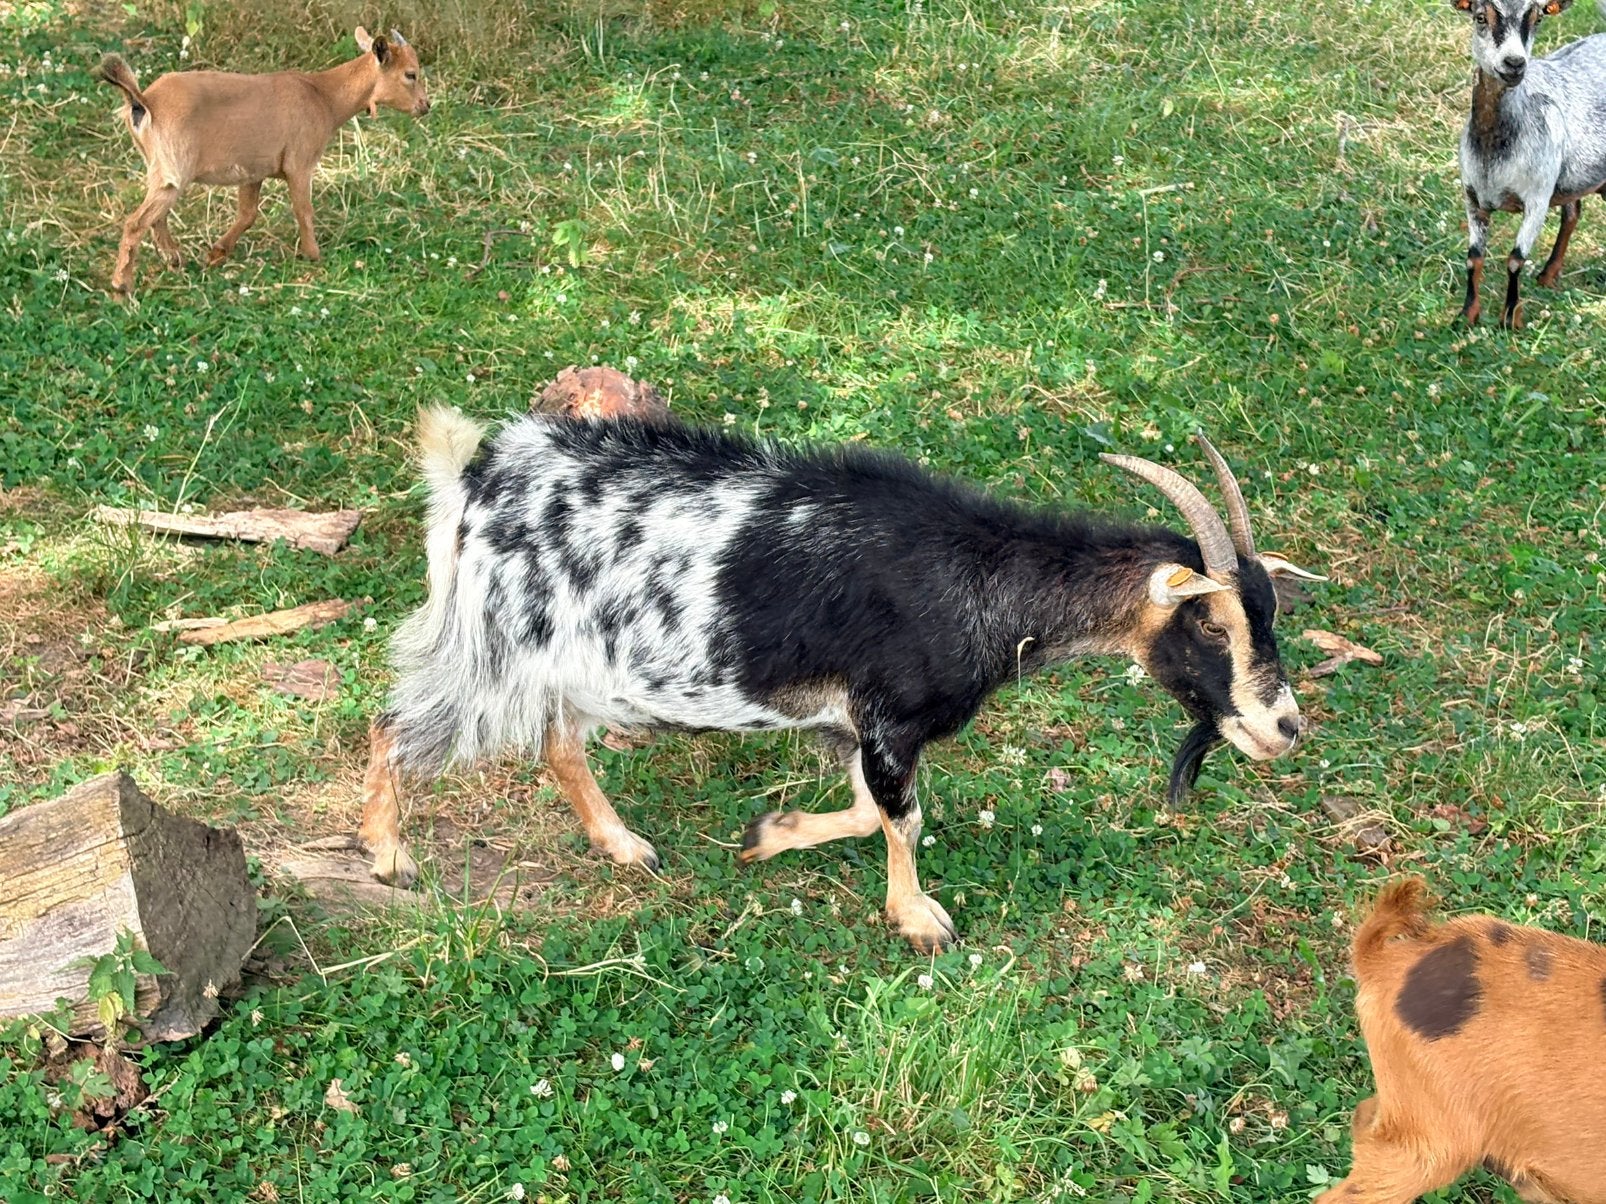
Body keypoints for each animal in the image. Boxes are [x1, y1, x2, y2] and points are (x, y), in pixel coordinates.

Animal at [99, 27, 429, 296]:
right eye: (410, 74)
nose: (425, 106)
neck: (323, 96)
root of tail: (143, 102)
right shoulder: (300, 162)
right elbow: (303, 210)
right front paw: (313, 255)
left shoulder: (253, 170)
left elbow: (248, 214)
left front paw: (217, 253)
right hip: (174, 168)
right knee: (136, 222)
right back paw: (121, 285)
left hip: (159, 167)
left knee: (157, 216)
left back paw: (174, 259)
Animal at [358, 410, 1323, 952]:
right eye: (1212, 623)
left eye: (1270, 611)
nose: (1285, 728)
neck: (975, 577)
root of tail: (475, 479)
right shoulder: (890, 720)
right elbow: (904, 819)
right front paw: (920, 919)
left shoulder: (852, 725)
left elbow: (866, 811)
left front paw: (766, 835)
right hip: (493, 649)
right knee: (395, 725)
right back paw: (388, 853)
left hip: (571, 667)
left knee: (559, 746)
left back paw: (625, 845)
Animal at [1453, 0, 1606, 327]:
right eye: (1481, 17)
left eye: (1537, 19)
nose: (1515, 63)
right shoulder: (1473, 197)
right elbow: (1473, 258)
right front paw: (1466, 315)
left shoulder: (1537, 198)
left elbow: (1515, 260)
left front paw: (1511, 318)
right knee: (1572, 213)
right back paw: (1548, 275)